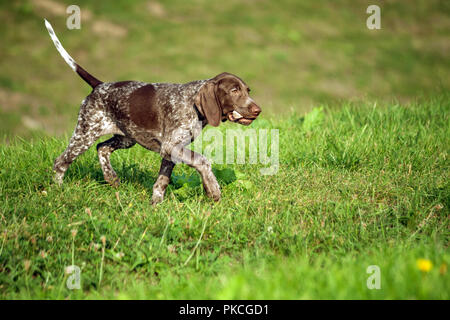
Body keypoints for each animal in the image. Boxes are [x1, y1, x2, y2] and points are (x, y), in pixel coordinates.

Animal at [44, 20, 262, 204]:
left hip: (126, 137)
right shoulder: (171, 146)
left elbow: (162, 181)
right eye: (234, 90)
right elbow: (203, 161)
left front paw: (156, 204)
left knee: (102, 148)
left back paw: (111, 177)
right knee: (61, 162)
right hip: (85, 133)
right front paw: (213, 189)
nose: (257, 110)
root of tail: (99, 86)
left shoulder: (173, 150)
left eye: (247, 90)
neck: (193, 105)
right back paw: (57, 190)